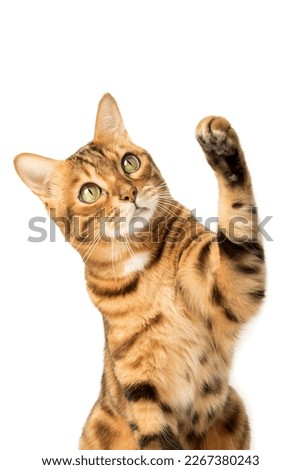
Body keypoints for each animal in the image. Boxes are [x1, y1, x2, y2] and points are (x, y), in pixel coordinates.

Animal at [14, 93, 264, 450]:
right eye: (89, 191)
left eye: (129, 163)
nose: (129, 194)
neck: (144, 264)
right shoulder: (139, 383)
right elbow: (156, 440)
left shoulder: (230, 283)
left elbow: (238, 215)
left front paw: (220, 149)